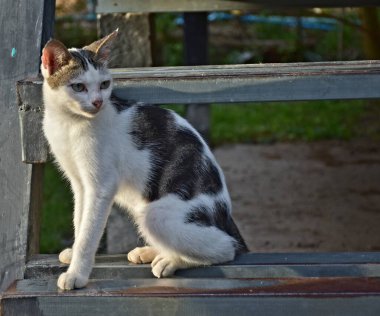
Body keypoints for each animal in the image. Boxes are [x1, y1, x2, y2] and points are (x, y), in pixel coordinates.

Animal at [40, 30, 248, 290]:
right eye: (78, 86)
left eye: (104, 84)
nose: (98, 102)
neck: (69, 124)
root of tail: (226, 217)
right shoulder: (79, 184)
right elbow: (80, 219)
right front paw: (74, 251)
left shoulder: (101, 186)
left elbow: (89, 231)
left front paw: (76, 273)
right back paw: (151, 251)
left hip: (156, 215)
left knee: (226, 248)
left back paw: (170, 260)